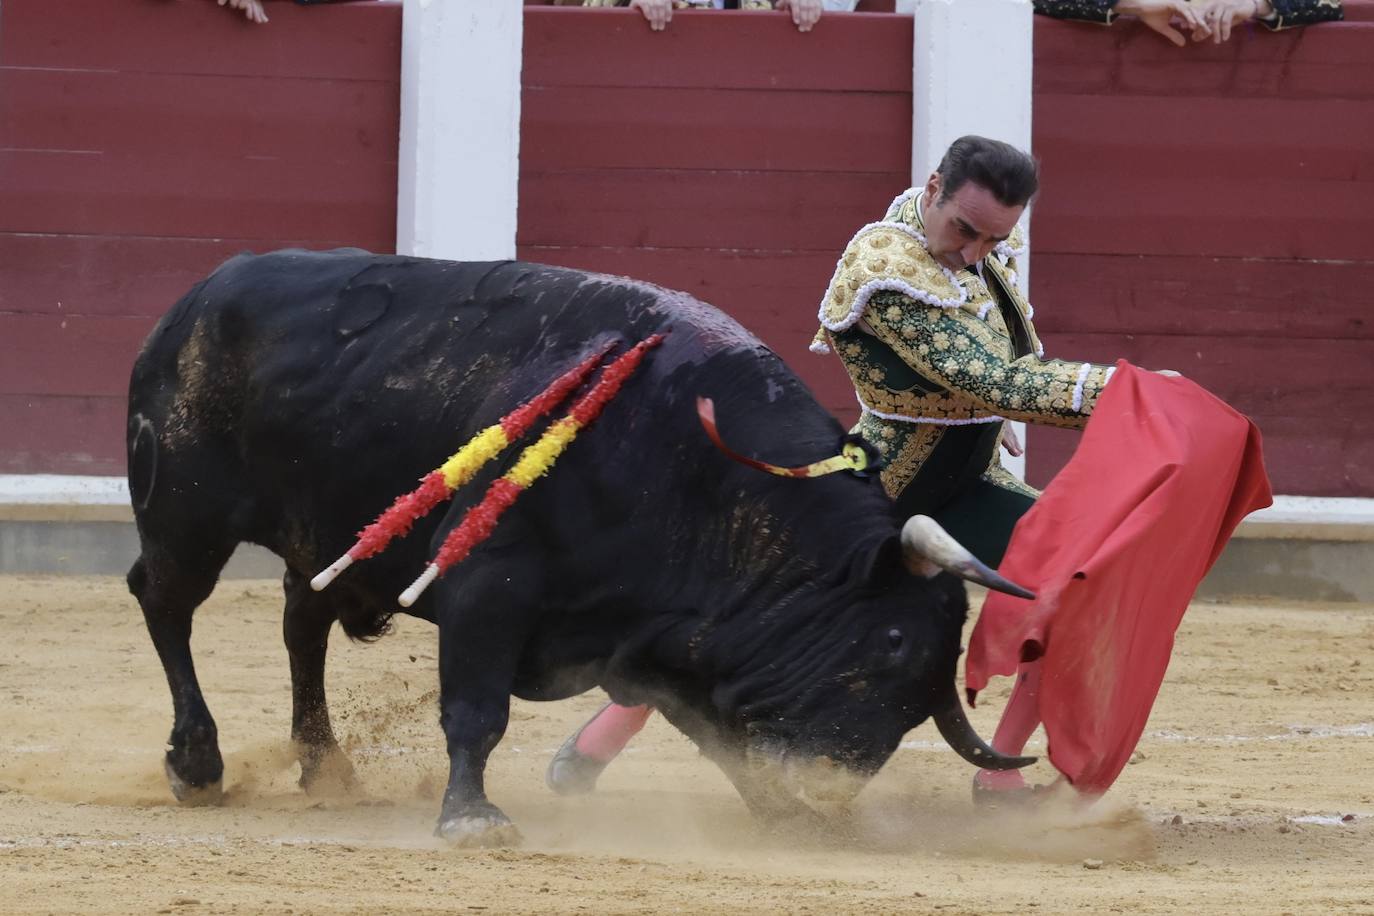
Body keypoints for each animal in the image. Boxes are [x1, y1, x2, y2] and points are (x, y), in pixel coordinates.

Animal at [129, 248, 1033, 845]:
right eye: (892, 640)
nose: (837, 779)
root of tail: (197, 296)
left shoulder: (663, 640)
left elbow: (721, 740)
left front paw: (787, 819)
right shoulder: (487, 587)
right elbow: (476, 711)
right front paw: (472, 818)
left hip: (317, 536)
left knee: (301, 623)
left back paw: (326, 767)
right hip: (186, 515)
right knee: (165, 600)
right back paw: (197, 763)